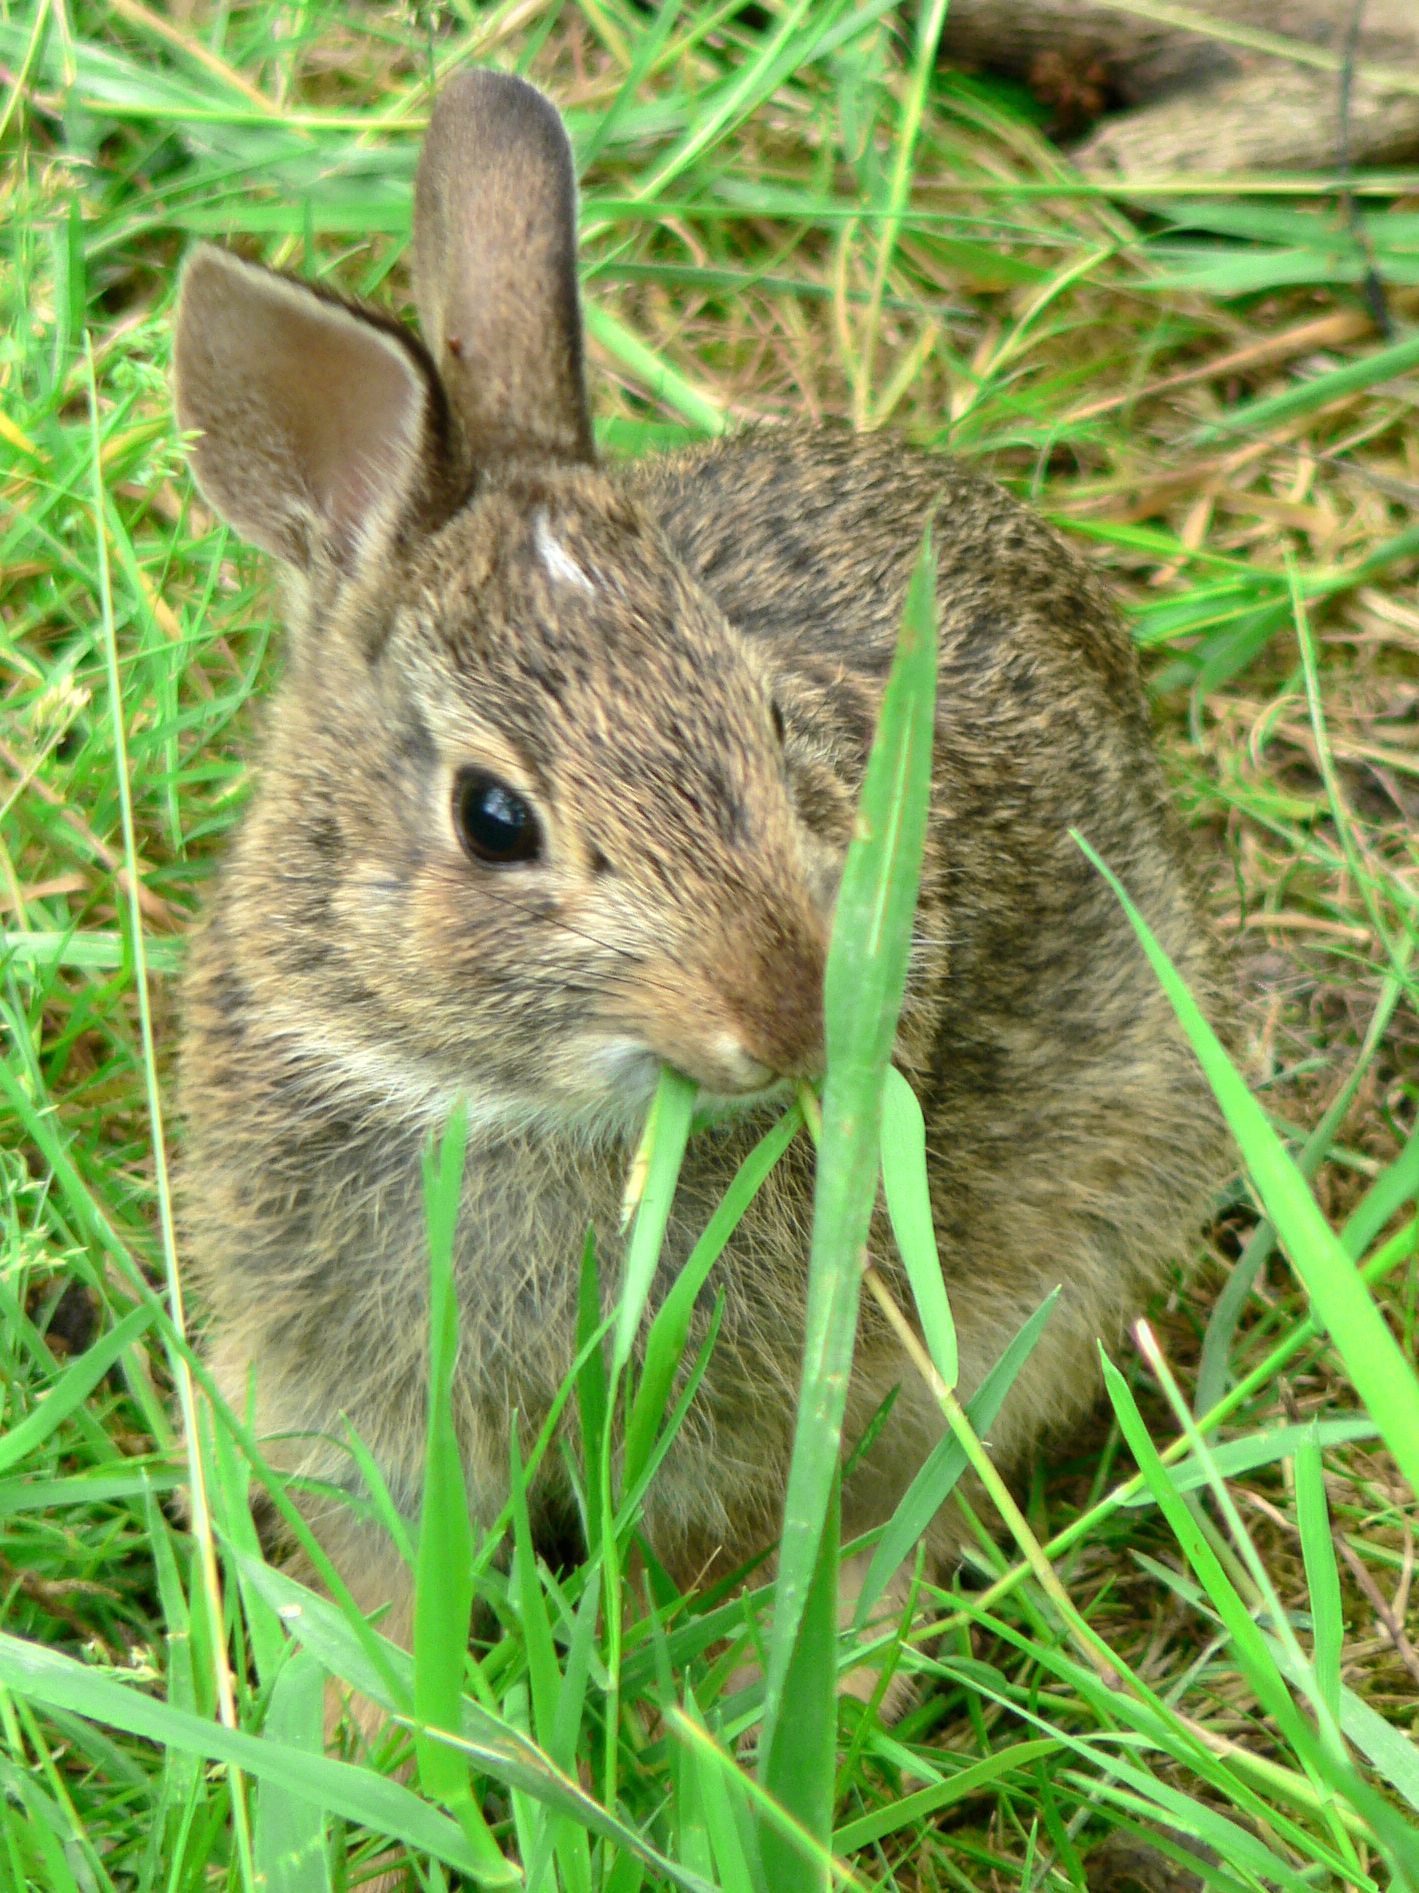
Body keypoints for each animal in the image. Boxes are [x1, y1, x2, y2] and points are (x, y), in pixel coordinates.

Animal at [175, 66, 1233, 1733]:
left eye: (772, 725)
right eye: (493, 820)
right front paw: (369, 1725)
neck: (487, 1097)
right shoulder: (345, 1384)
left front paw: (728, 1707)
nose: (790, 1021)